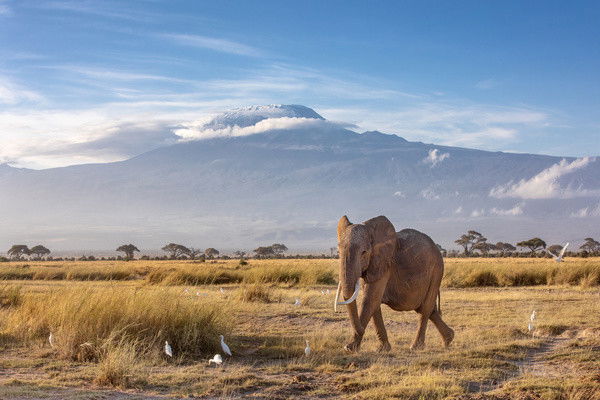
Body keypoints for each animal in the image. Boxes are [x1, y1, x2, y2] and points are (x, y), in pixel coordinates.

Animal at [332, 214, 454, 352]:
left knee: (425, 308)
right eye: (338, 252)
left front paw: (349, 348)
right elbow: (374, 303)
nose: (361, 331)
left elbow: (370, 300)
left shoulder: (384, 264)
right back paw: (448, 339)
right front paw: (383, 349)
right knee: (428, 309)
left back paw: (416, 347)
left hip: (436, 271)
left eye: (364, 253)